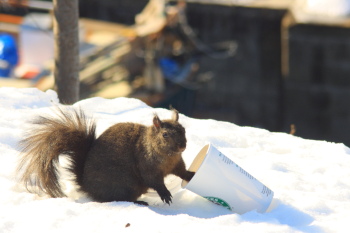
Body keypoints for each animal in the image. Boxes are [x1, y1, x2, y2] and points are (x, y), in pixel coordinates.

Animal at [17, 106, 194, 205]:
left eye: (183, 130)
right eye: (165, 135)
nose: (182, 146)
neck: (168, 156)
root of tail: (87, 186)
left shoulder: (177, 163)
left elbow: (181, 171)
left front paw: (190, 175)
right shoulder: (147, 165)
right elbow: (154, 181)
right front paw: (165, 193)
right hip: (126, 185)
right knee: (120, 199)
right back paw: (140, 202)